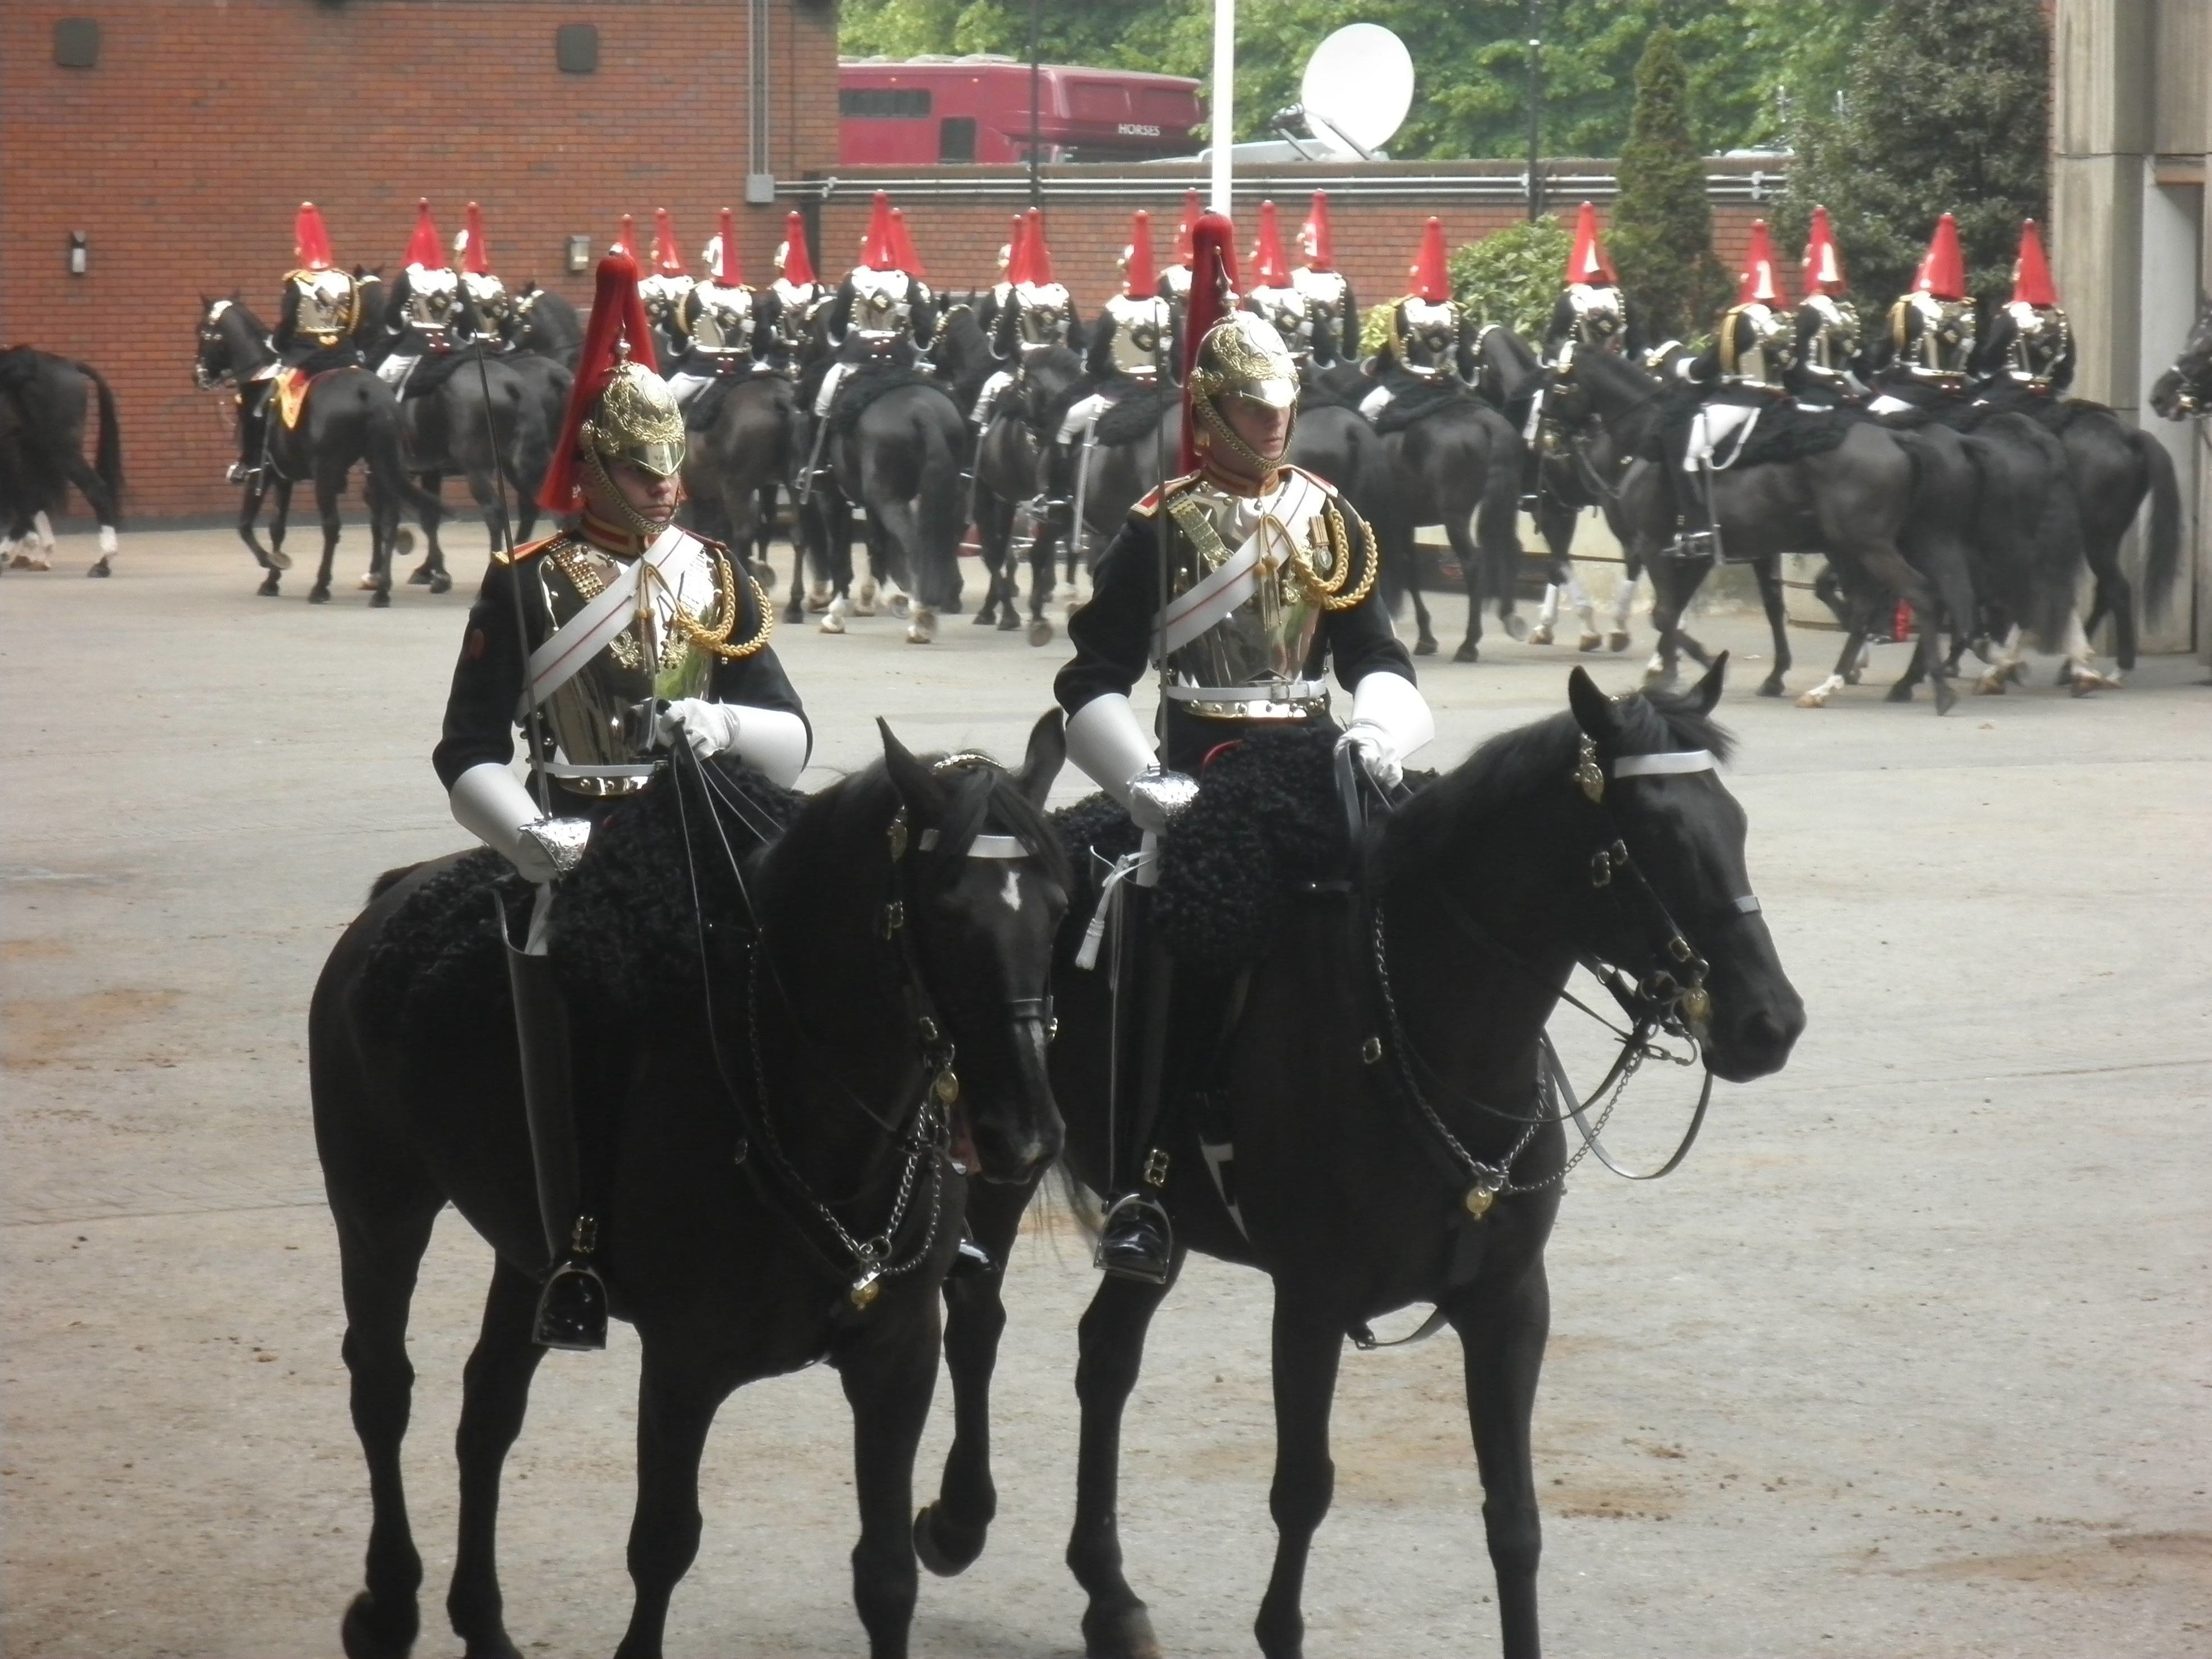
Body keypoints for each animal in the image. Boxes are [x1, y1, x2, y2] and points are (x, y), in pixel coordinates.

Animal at [195, 296, 436, 606]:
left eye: (203, 333)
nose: (198, 375)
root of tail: (368, 391)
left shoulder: (263, 472)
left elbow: (246, 525)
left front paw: (271, 565)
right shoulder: (283, 476)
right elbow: (277, 527)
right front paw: (272, 578)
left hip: (325, 472)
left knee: (332, 526)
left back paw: (321, 587)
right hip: (379, 464)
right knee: (389, 520)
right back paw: (382, 590)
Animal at [309, 725, 1070, 1659]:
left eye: (1059, 906)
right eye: (943, 909)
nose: (1022, 1134)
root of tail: (395, 893)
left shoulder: (899, 1356)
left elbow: (887, 1574)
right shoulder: (684, 1365)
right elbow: (663, 1543)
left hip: (528, 1255)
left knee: (487, 1410)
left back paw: (482, 1623)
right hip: (378, 1204)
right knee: (382, 1385)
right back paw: (388, 1605)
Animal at [916, 663, 1796, 1659]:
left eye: (1735, 824)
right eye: (1654, 838)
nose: (1769, 1023)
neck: (1434, 1036)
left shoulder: (1508, 1300)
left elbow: (1513, 1518)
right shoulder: (1310, 1300)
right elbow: (1302, 1488)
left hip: (1158, 1219)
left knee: (1104, 1354)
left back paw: (1108, 1593)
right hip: (1006, 1148)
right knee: (977, 1315)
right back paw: (958, 1521)